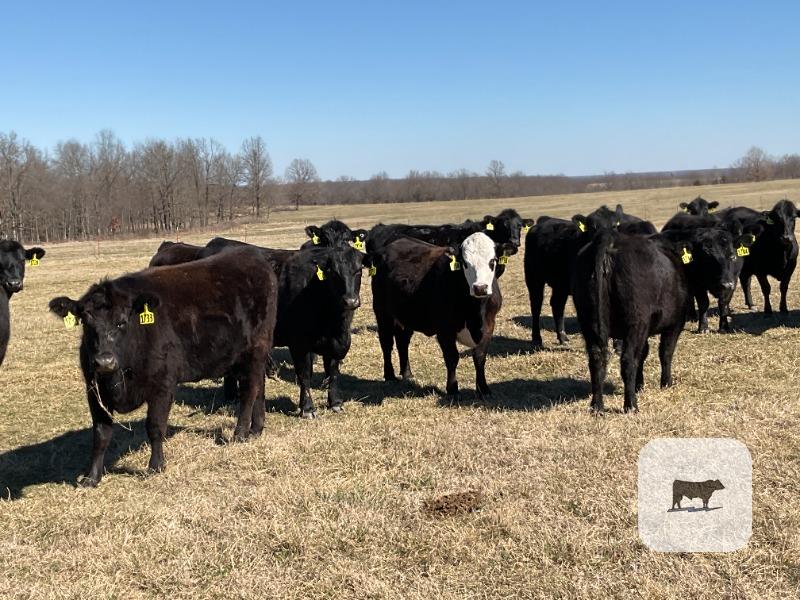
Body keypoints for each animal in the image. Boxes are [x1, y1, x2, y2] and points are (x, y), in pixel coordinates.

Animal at [48, 247, 279, 486]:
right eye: (86, 321)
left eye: (122, 322)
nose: (104, 361)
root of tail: (252, 255)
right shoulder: (94, 391)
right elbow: (101, 434)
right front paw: (91, 477)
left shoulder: (162, 385)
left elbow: (155, 426)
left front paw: (155, 466)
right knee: (259, 387)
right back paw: (256, 429)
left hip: (255, 349)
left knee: (249, 391)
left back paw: (240, 433)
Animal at [370, 232, 507, 399]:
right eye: (465, 263)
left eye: (492, 261)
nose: (480, 288)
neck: (475, 311)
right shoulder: (444, 330)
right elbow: (452, 358)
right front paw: (453, 389)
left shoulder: (489, 326)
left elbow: (479, 357)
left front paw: (484, 389)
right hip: (382, 313)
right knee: (386, 343)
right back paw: (389, 375)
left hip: (406, 316)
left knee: (403, 341)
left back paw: (407, 374)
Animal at [524, 204, 655, 349]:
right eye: (593, 227)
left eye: (614, 226)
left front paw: (618, 345)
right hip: (533, 277)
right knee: (536, 305)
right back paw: (537, 338)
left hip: (560, 284)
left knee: (557, 304)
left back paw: (563, 337)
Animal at [572, 230, 691, 413]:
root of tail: (610, 241)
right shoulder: (675, 323)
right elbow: (665, 352)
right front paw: (666, 383)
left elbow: (644, 353)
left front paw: (639, 385)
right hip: (635, 321)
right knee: (628, 360)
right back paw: (631, 406)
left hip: (588, 320)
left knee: (597, 359)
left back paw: (597, 406)